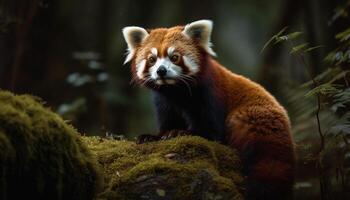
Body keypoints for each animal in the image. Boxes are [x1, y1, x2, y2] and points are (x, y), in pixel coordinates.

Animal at [121, 19, 294, 199]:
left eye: (174, 57)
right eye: (152, 59)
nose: (161, 71)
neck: (175, 90)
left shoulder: (210, 95)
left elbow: (211, 132)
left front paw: (180, 132)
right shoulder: (164, 101)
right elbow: (167, 120)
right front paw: (153, 136)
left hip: (253, 118)